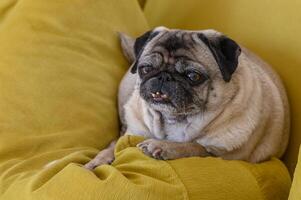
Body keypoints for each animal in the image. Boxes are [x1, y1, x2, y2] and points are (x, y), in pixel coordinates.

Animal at [83, 26, 290, 170]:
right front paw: (99, 160)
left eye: (193, 76)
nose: (164, 77)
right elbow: (116, 145)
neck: (174, 120)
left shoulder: (221, 155)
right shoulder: (133, 130)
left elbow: (195, 147)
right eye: (146, 69)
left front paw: (161, 146)